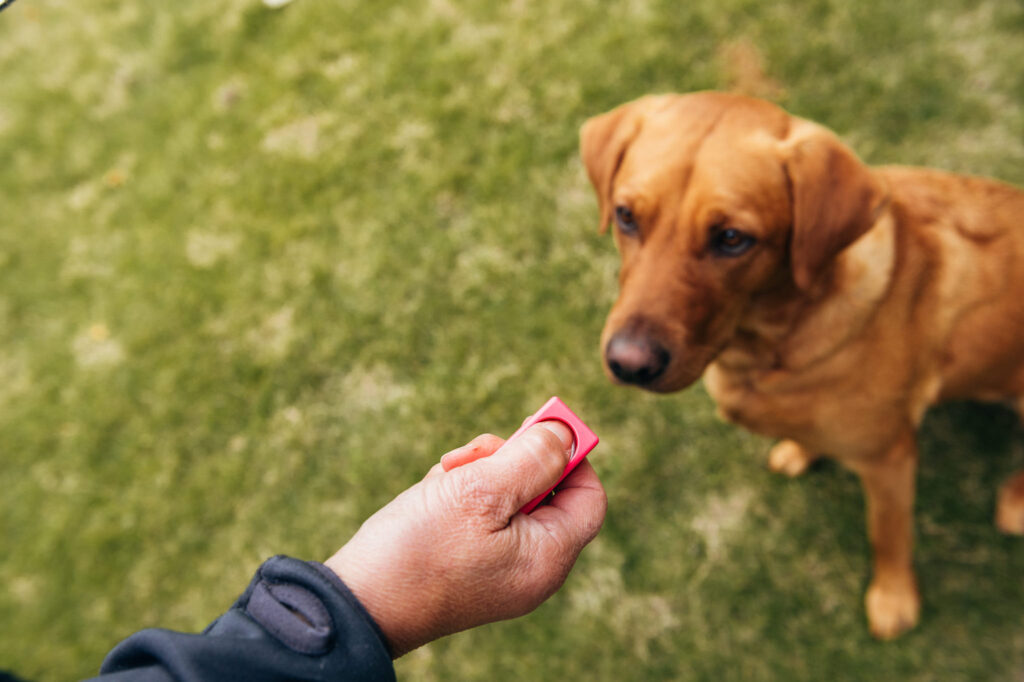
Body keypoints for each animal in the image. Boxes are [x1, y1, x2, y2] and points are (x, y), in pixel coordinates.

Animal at [581, 91, 1024, 638]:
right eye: (625, 216)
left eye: (732, 238)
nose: (629, 364)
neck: (768, 346)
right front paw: (800, 450)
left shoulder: (889, 458)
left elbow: (887, 534)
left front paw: (893, 598)